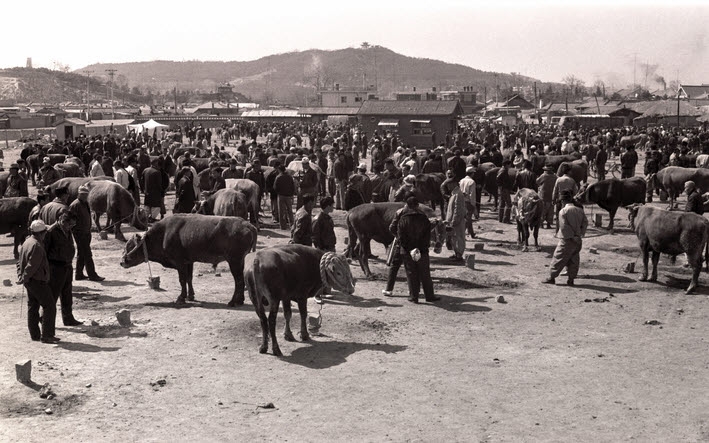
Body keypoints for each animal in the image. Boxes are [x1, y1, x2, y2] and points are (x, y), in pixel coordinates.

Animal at [120, 214, 258, 306]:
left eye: (130, 246)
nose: (122, 261)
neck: (164, 234)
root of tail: (247, 224)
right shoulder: (189, 262)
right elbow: (188, 279)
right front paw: (190, 296)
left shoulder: (179, 262)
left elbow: (182, 280)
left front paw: (181, 298)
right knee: (241, 281)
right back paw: (240, 300)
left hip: (234, 261)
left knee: (239, 281)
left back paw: (233, 301)